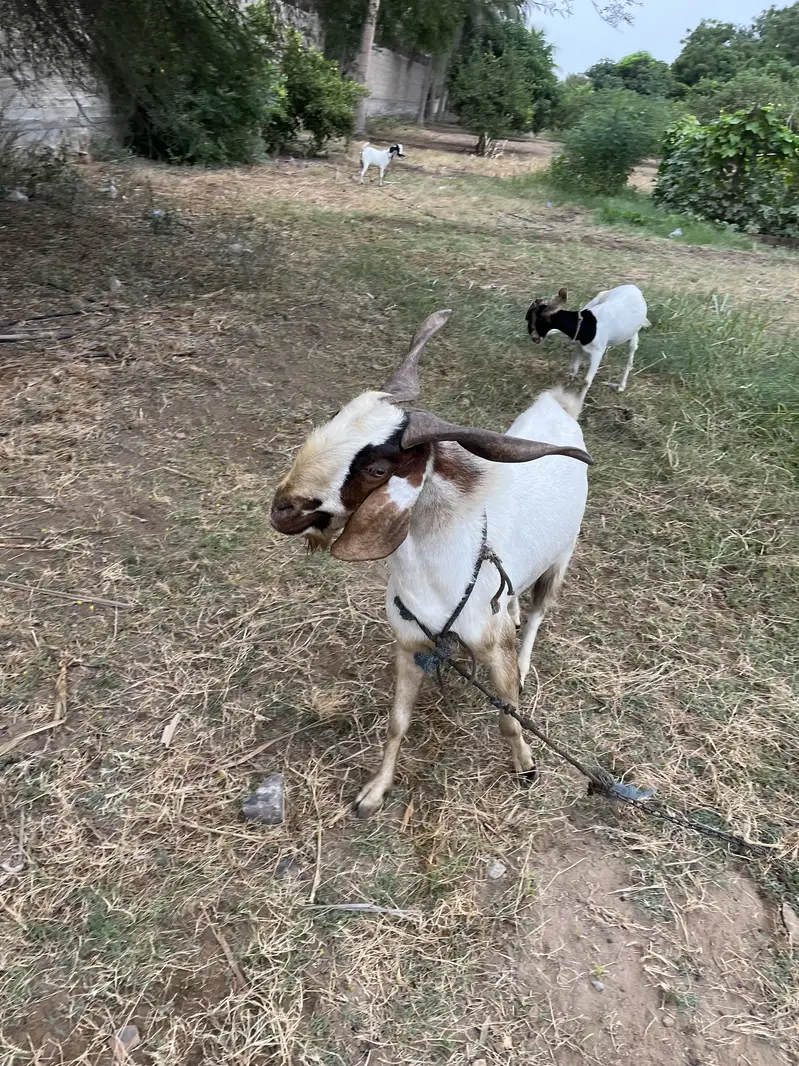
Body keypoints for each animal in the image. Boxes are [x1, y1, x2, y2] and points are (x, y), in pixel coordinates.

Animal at [271, 311, 592, 817]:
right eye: (334, 420)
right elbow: (397, 722)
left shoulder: (492, 647)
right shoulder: (409, 644)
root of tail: (558, 409)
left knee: (539, 612)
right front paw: (373, 792)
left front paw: (526, 767)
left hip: (561, 557)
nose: (283, 508)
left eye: (377, 469)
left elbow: (508, 716)